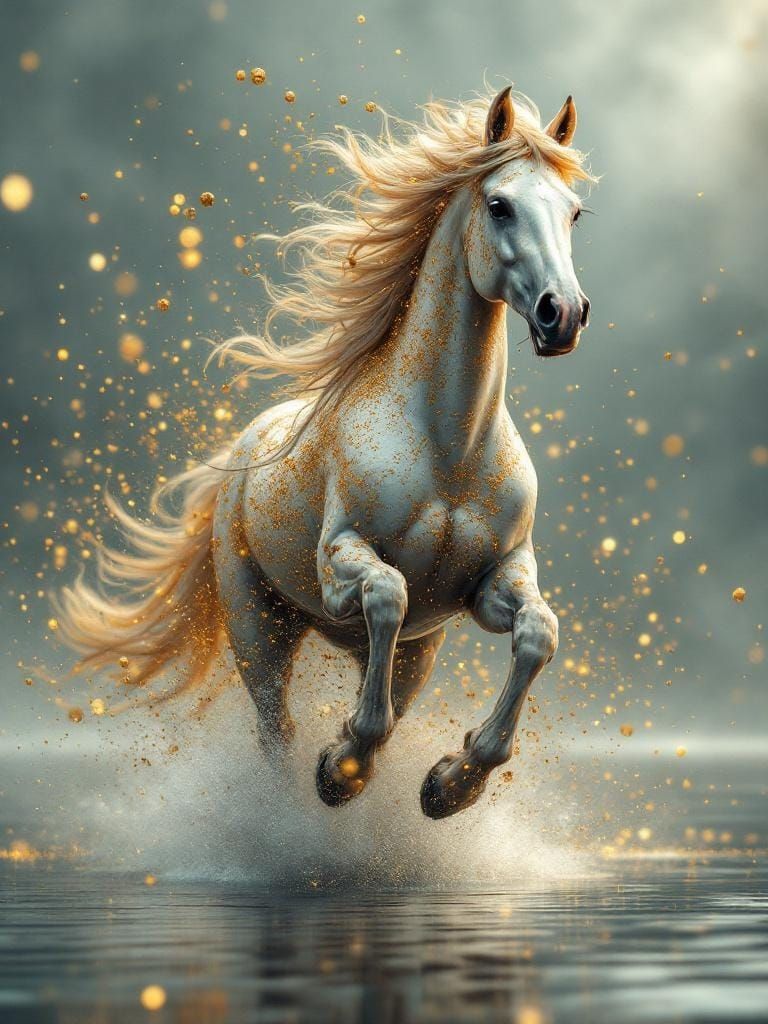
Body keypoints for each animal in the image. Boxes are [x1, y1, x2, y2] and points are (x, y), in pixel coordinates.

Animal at [56, 85, 596, 819]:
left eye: (574, 212)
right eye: (499, 205)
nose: (561, 314)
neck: (449, 448)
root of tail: (240, 454)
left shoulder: (494, 582)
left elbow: (540, 632)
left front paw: (451, 782)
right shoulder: (340, 563)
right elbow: (387, 594)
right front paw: (341, 767)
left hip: (419, 652)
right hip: (259, 629)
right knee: (276, 728)